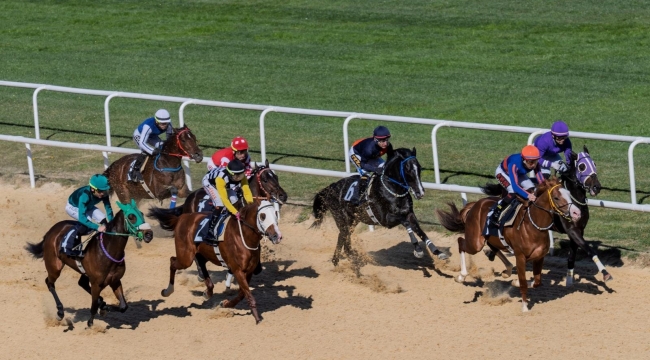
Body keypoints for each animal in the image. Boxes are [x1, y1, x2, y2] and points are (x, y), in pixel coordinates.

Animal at [24, 200, 154, 330]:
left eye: (142, 214)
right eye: (131, 216)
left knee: (81, 283)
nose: (149, 234)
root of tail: (51, 231)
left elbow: (123, 306)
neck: (109, 249)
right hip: (54, 267)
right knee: (50, 283)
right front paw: (91, 323)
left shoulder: (115, 280)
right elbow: (93, 306)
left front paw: (104, 307)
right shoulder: (96, 283)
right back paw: (60, 312)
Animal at [148, 198, 280, 324]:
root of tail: (181, 218)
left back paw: (208, 292)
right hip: (185, 257)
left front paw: (226, 304)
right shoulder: (237, 270)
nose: (276, 236)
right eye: (262, 216)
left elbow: (243, 294)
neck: (243, 237)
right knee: (172, 261)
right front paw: (257, 319)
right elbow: (248, 294)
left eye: (275, 213)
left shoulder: (249, 271)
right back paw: (167, 291)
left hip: (203, 253)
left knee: (200, 264)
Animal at [308, 146, 446, 268]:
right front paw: (417, 249)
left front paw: (438, 252)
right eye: (407, 169)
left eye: (419, 168)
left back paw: (347, 259)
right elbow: (406, 223)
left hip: (353, 221)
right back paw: (342, 262)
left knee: (344, 240)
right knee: (343, 237)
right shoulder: (386, 219)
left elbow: (420, 230)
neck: (393, 190)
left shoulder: (409, 213)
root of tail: (331, 188)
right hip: (342, 219)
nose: (420, 192)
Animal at [438, 179, 580, 310]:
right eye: (556, 197)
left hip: (490, 238)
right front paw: (524, 308)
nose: (576, 213)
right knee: (461, 242)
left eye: (569, 194)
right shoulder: (520, 257)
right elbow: (524, 283)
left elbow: (537, 282)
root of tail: (475, 204)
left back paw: (507, 269)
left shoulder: (540, 257)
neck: (533, 226)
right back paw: (461, 276)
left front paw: (515, 282)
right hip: (475, 242)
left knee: (493, 247)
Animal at [476, 146, 608, 284]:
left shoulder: (579, 229)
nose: (596, 187)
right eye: (582, 166)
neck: (573, 198)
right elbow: (588, 248)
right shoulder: (571, 229)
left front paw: (569, 281)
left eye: (594, 164)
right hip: (508, 184)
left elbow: (573, 255)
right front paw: (605, 273)